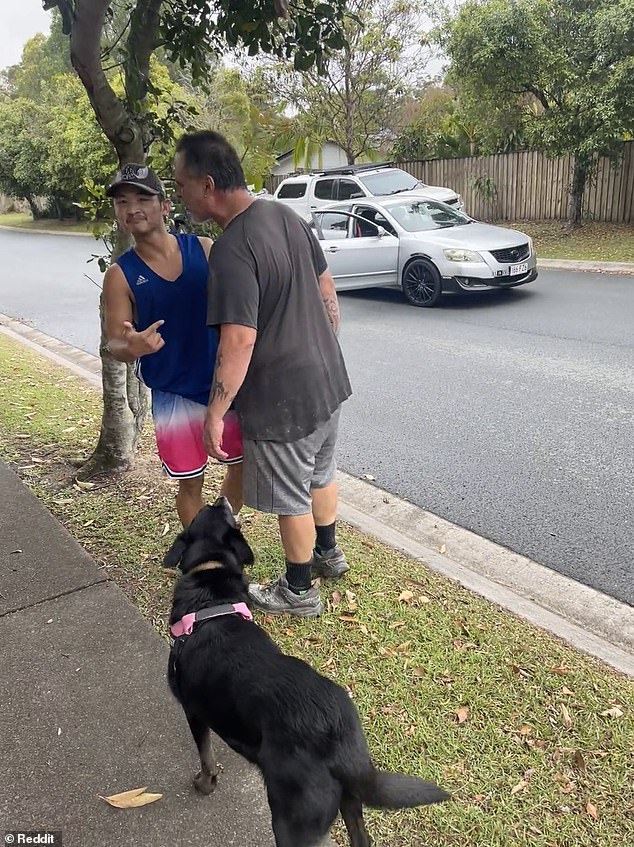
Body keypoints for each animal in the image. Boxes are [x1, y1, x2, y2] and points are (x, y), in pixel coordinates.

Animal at [164, 500, 450, 844]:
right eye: (216, 511)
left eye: (204, 510)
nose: (221, 500)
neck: (212, 597)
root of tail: (338, 735)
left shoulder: (193, 711)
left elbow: (206, 757)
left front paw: (205, 784)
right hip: (348, 802)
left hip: (293, 820)